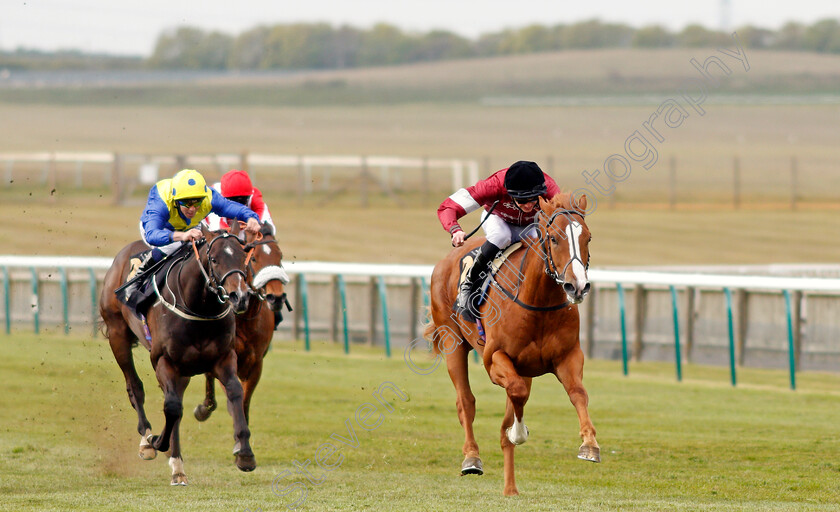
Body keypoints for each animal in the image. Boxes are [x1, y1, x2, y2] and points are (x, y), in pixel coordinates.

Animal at [100, 227, 256, 484]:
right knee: (135, 387)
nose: (239, 297)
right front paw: (156, 441)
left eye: (244, 258)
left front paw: (245, 454)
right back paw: (147, 441)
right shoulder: (164, 361)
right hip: (117, 334)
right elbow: (171, 407)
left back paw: (178, 467)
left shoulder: (223, 358)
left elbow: (234, 391)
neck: (199, 307)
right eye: (214, 260)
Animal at [194, 223, 292, 428]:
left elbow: (245, 401)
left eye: (280, 256)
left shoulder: (256, 364)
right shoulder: (226, 359)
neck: (244, 317)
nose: (276, 297)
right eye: (254, 258)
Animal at [426, 193, 596, 496]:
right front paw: (518, 432)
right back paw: (472, 458)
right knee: (465, 401)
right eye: (554, 238)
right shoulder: (494, 359)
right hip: (452, 342)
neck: (538, 302)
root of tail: (445, 261)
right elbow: (515, 394)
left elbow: (577, 393)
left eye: (587, 237)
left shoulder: (568, 357)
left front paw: (589, 444)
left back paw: (510, 488)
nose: (577, 287)